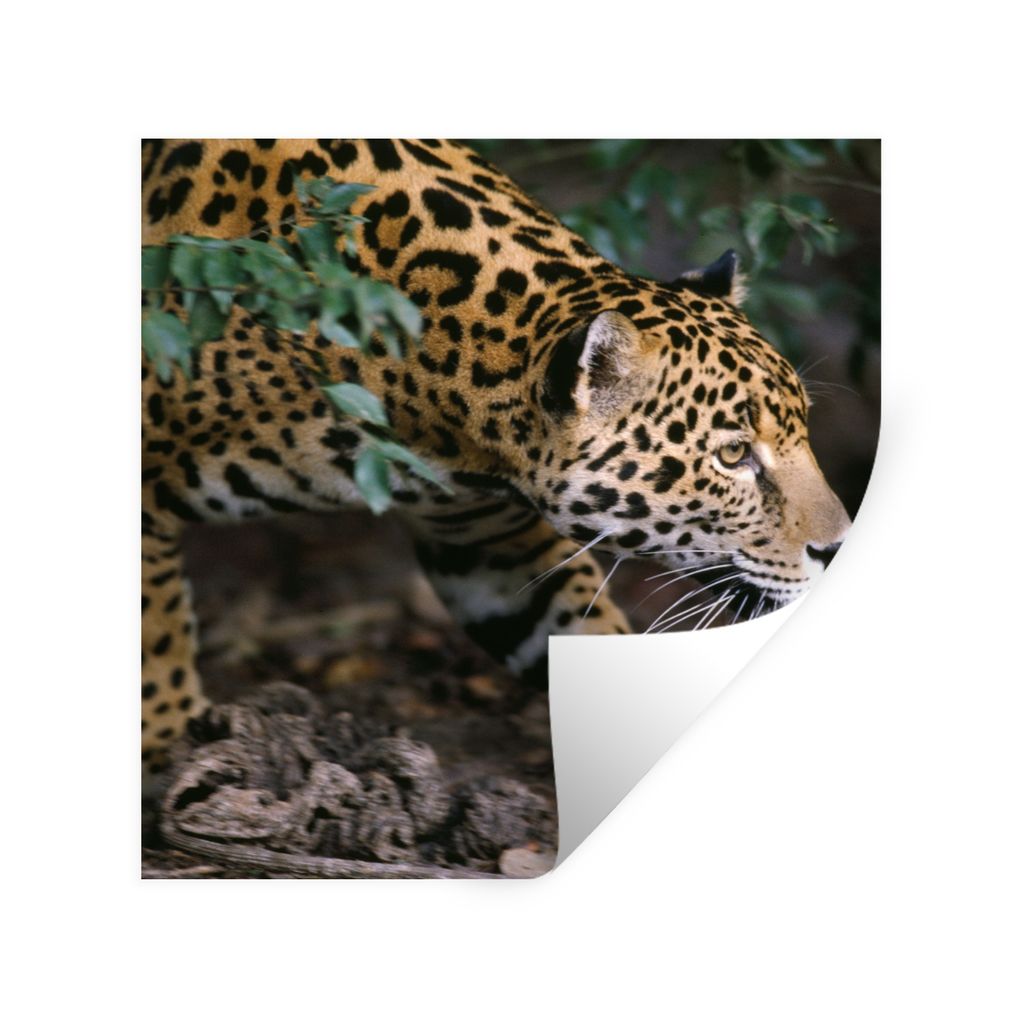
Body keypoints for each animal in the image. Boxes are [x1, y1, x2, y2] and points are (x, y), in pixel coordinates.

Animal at [141, 139, 850, 768]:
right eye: (733, 455)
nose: (837, 549)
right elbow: (157, 639)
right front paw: (175, 752)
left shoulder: (488, 539)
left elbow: (575, 629)